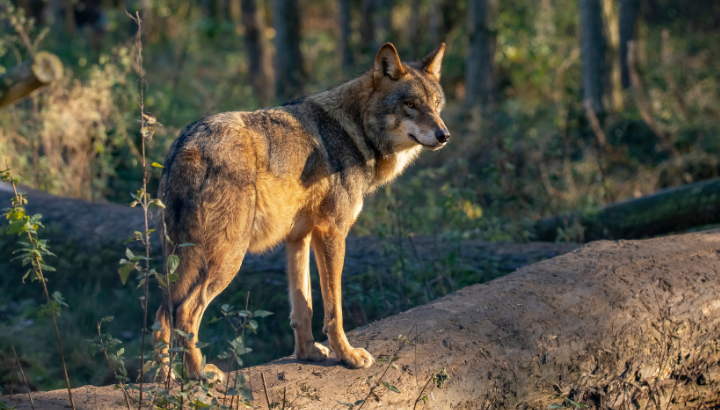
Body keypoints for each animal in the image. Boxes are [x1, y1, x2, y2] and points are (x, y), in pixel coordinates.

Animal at [155, 41, 450, 382]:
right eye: (411, 104)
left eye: (436, 105)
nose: (444, 135)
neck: (356, 130)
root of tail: (184, 143)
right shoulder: (332, 233)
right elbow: (334, 307)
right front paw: (347, 356)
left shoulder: (299, 237)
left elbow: (303, 305)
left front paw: (308, 353)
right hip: (226, 260)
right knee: (184, 312)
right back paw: (198, 374)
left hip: (182, 261)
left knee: (162, 316)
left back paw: (164, 380)